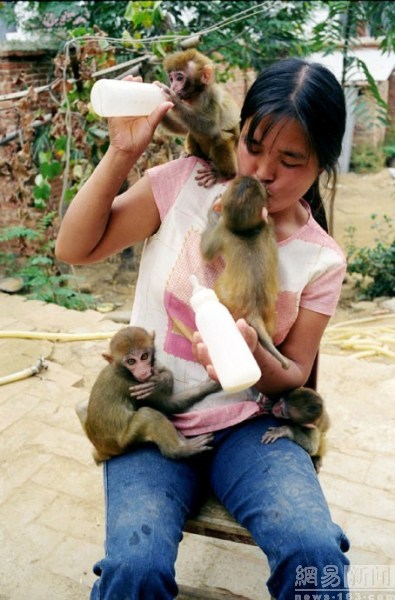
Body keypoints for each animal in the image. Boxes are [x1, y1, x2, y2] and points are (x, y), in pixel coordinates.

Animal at [159, 48, 240, 184]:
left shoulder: (210, 97)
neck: (196, 95)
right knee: (192, 131)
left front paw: (173, 99)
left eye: (179, 78)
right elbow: (183, 127)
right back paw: (193, 155)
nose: (173, 87)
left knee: (220, 135)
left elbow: (211, 127)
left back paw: (225, 174)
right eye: (171, 79)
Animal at [201, 175, 290, 370]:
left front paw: (213, 213)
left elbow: (205, 252)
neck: (247, 231)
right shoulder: (267, 226)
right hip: (269, 314)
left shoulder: (222, 230)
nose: (257, 179)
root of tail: (254, 311)